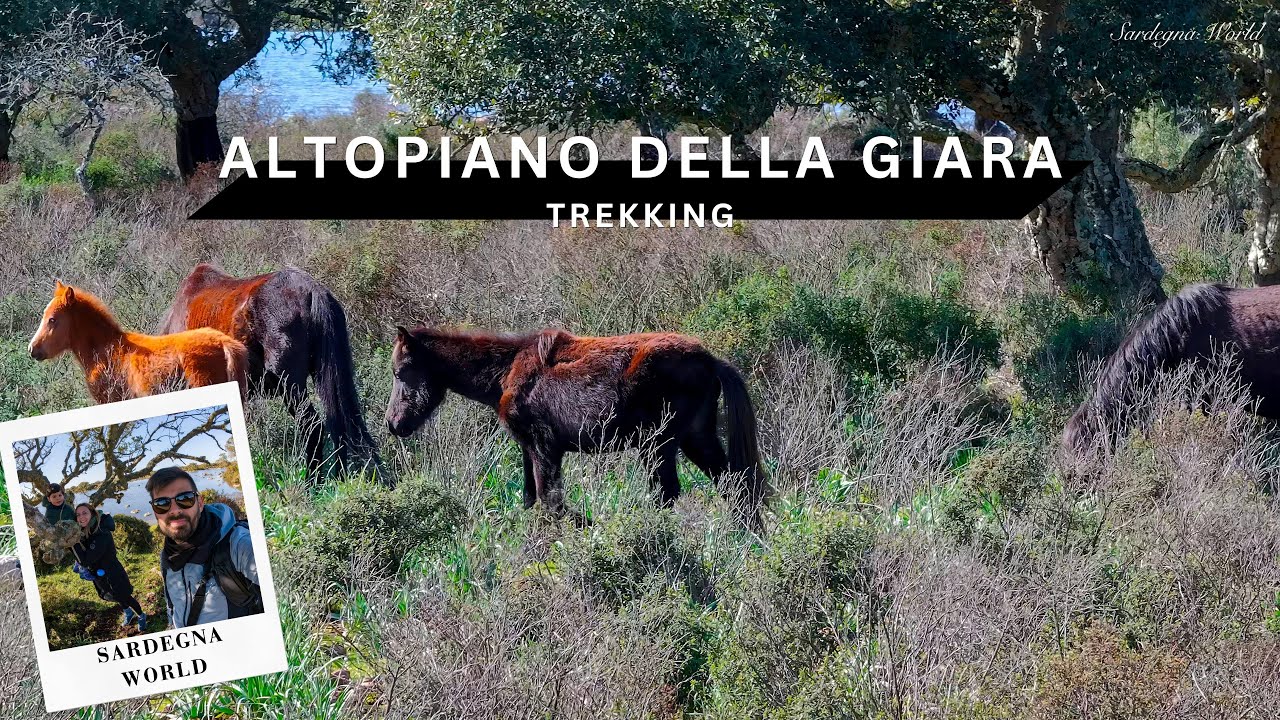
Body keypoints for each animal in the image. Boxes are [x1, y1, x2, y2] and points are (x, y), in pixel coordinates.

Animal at [384, 326, 767, 525]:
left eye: (400, 372)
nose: (392, 424)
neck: (508, 371)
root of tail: (711, 361)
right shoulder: (529, 450)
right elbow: (532, 500)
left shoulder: (544, 448)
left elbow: (551, 502)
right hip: (696, 440)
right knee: (736, 486)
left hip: (658, 446)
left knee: (669, 493)